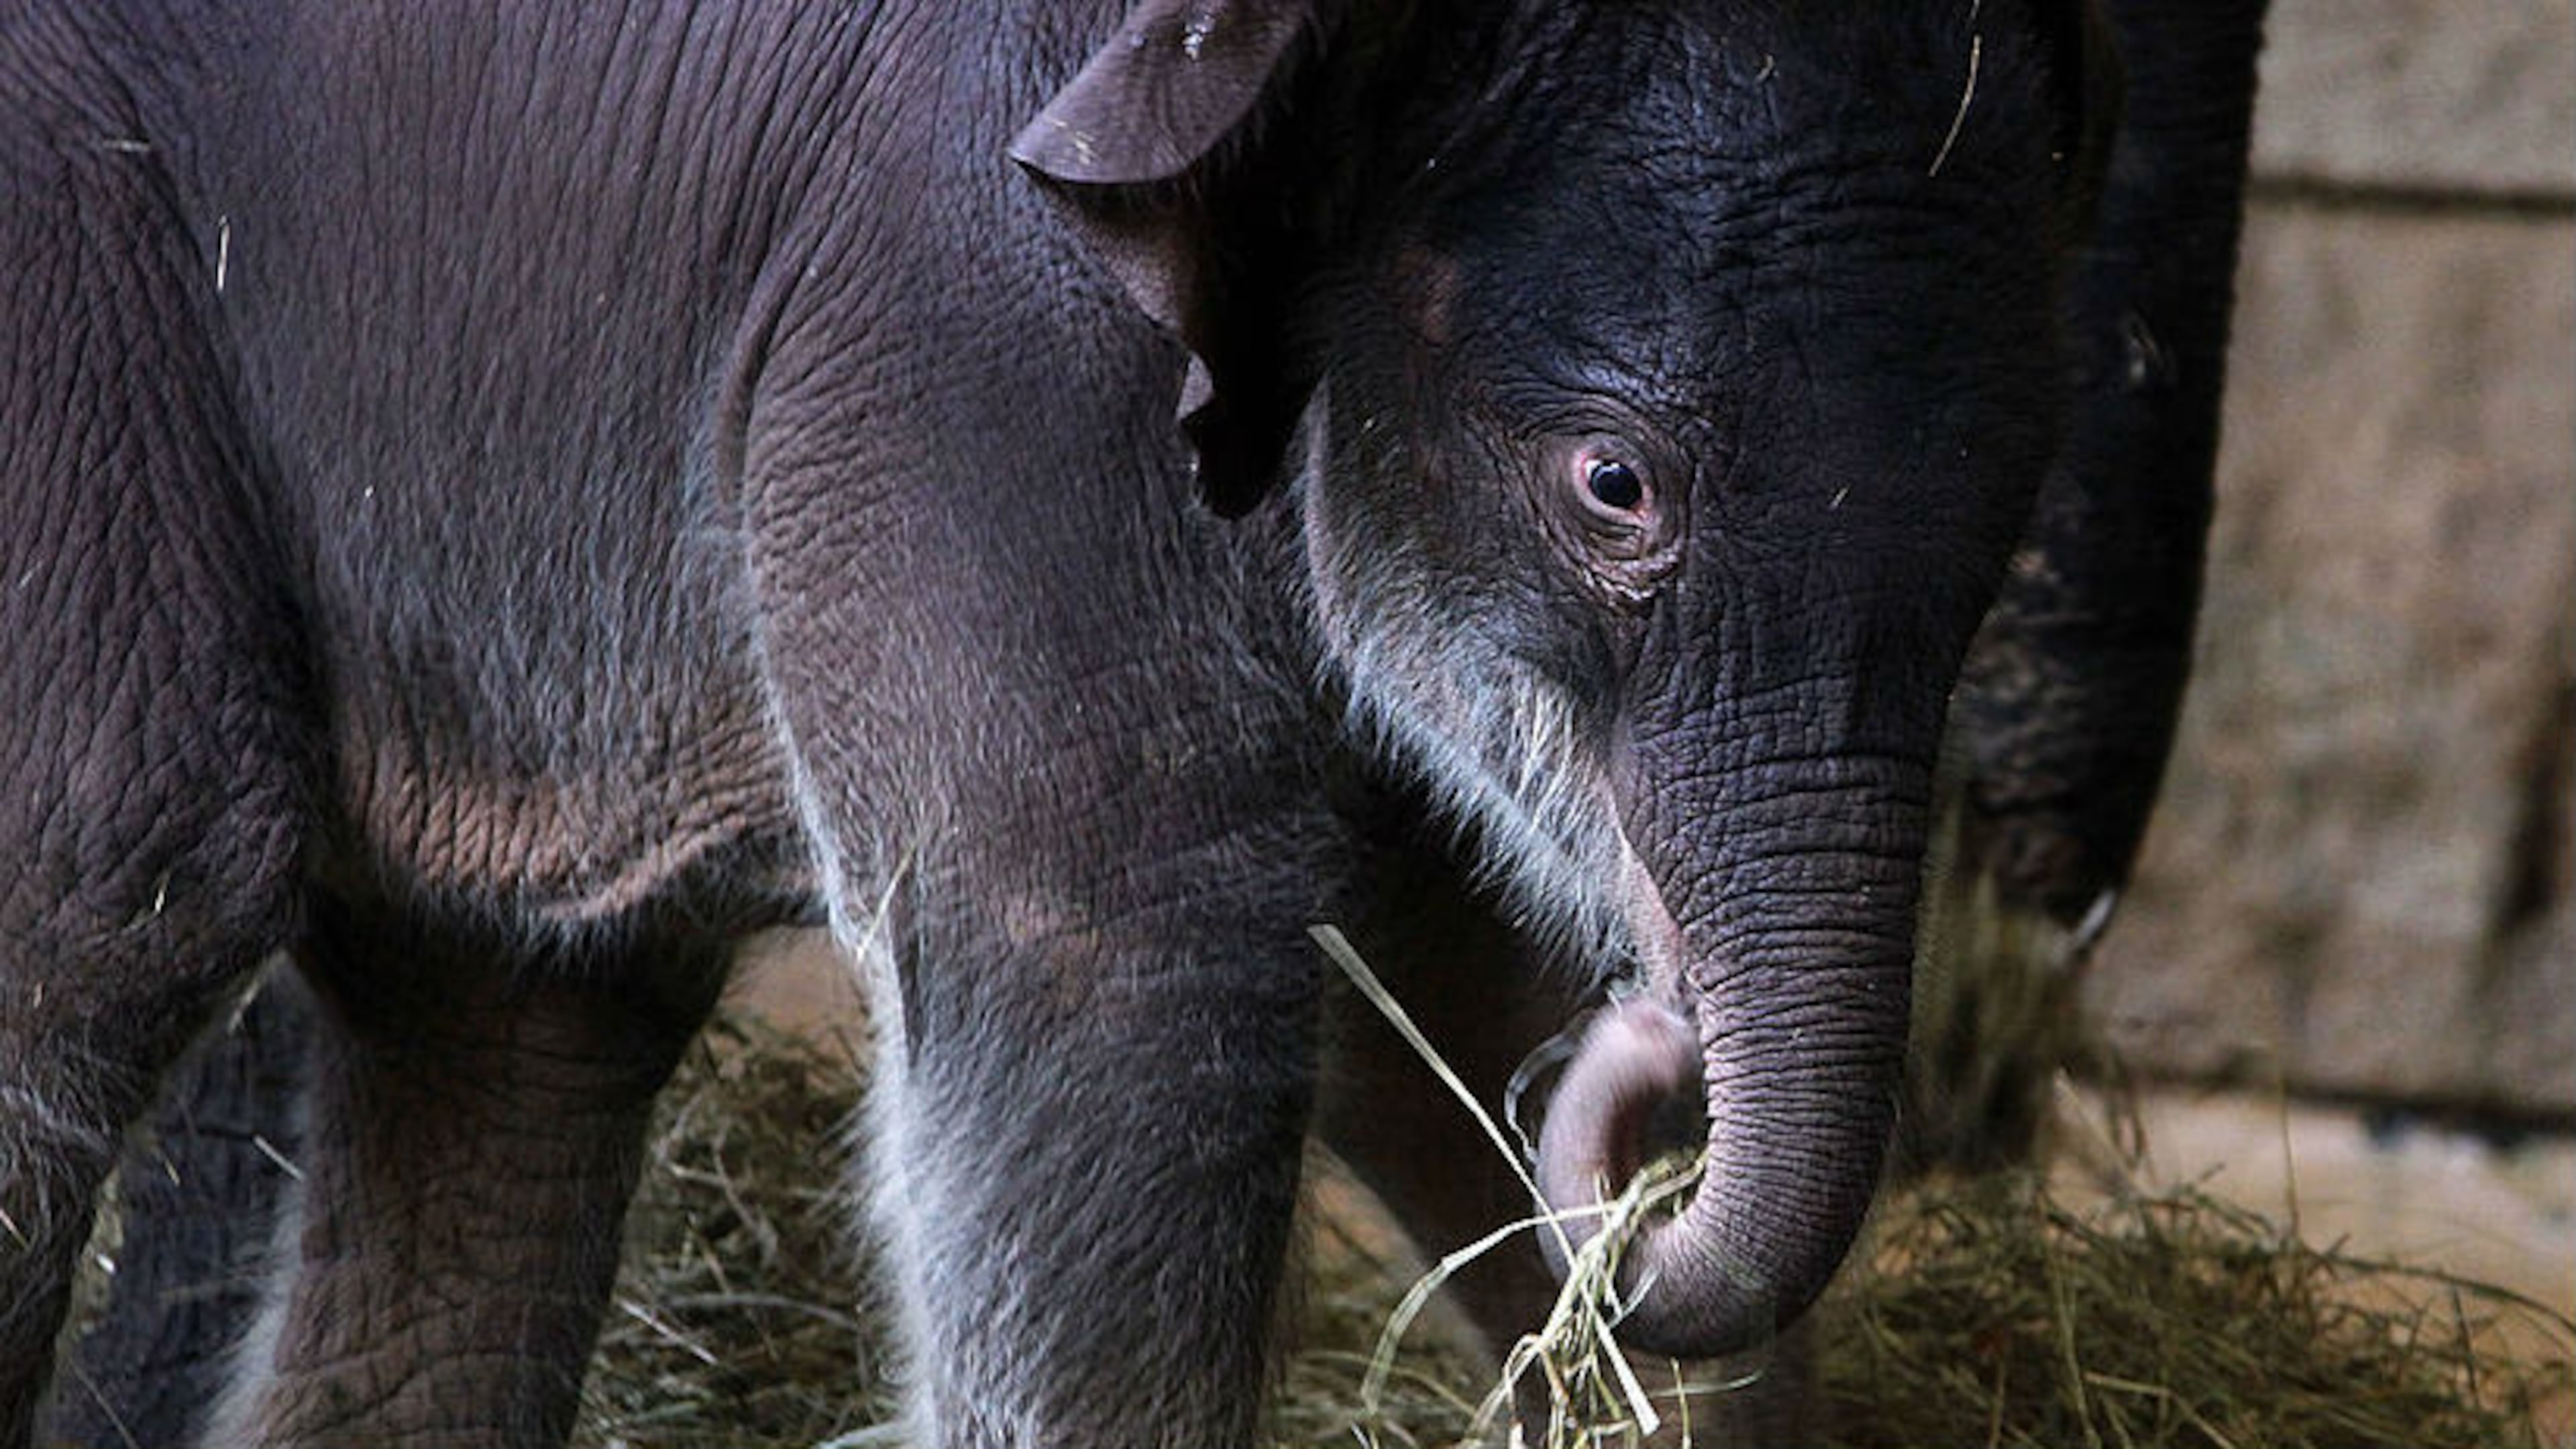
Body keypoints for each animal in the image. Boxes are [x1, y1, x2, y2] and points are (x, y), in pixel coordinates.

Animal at [1, 0, 2270, 1444]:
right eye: (1615, 489)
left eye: (2007, 519)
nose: (1649, 1095)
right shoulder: (969, 328)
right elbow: (1137, 975)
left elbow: (1426, 986)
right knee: (119, 872)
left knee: (511, 1036)